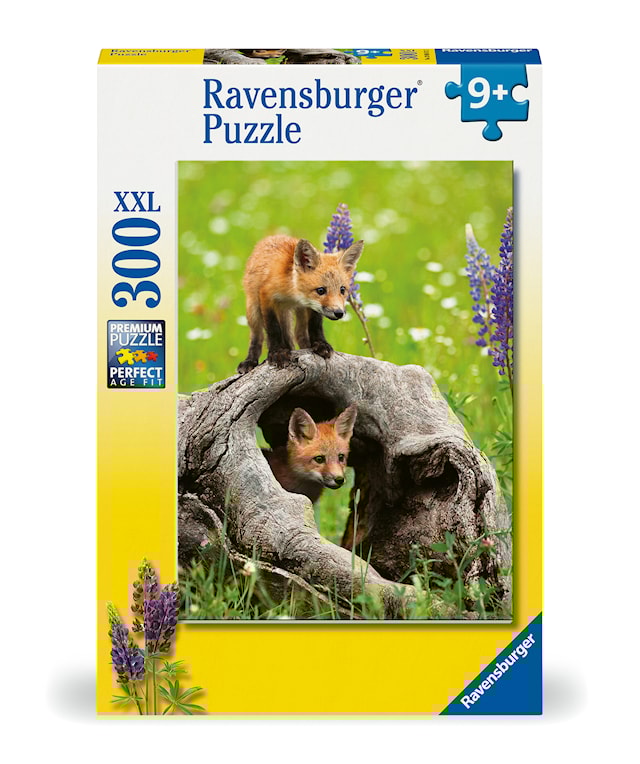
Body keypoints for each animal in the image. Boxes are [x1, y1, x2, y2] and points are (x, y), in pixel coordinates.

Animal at [237, 235, 364, 374]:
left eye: (342, 290)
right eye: (321, 290)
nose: (339, 313)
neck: (292, 293)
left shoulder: (312, 307)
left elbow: (315, 325)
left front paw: (321, 344)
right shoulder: (266, 296)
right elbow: (273, 328)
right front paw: (277, 351)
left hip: (300, 312)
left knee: (299, 333)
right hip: (253, 308)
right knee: (257, 336)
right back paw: (250, 360)